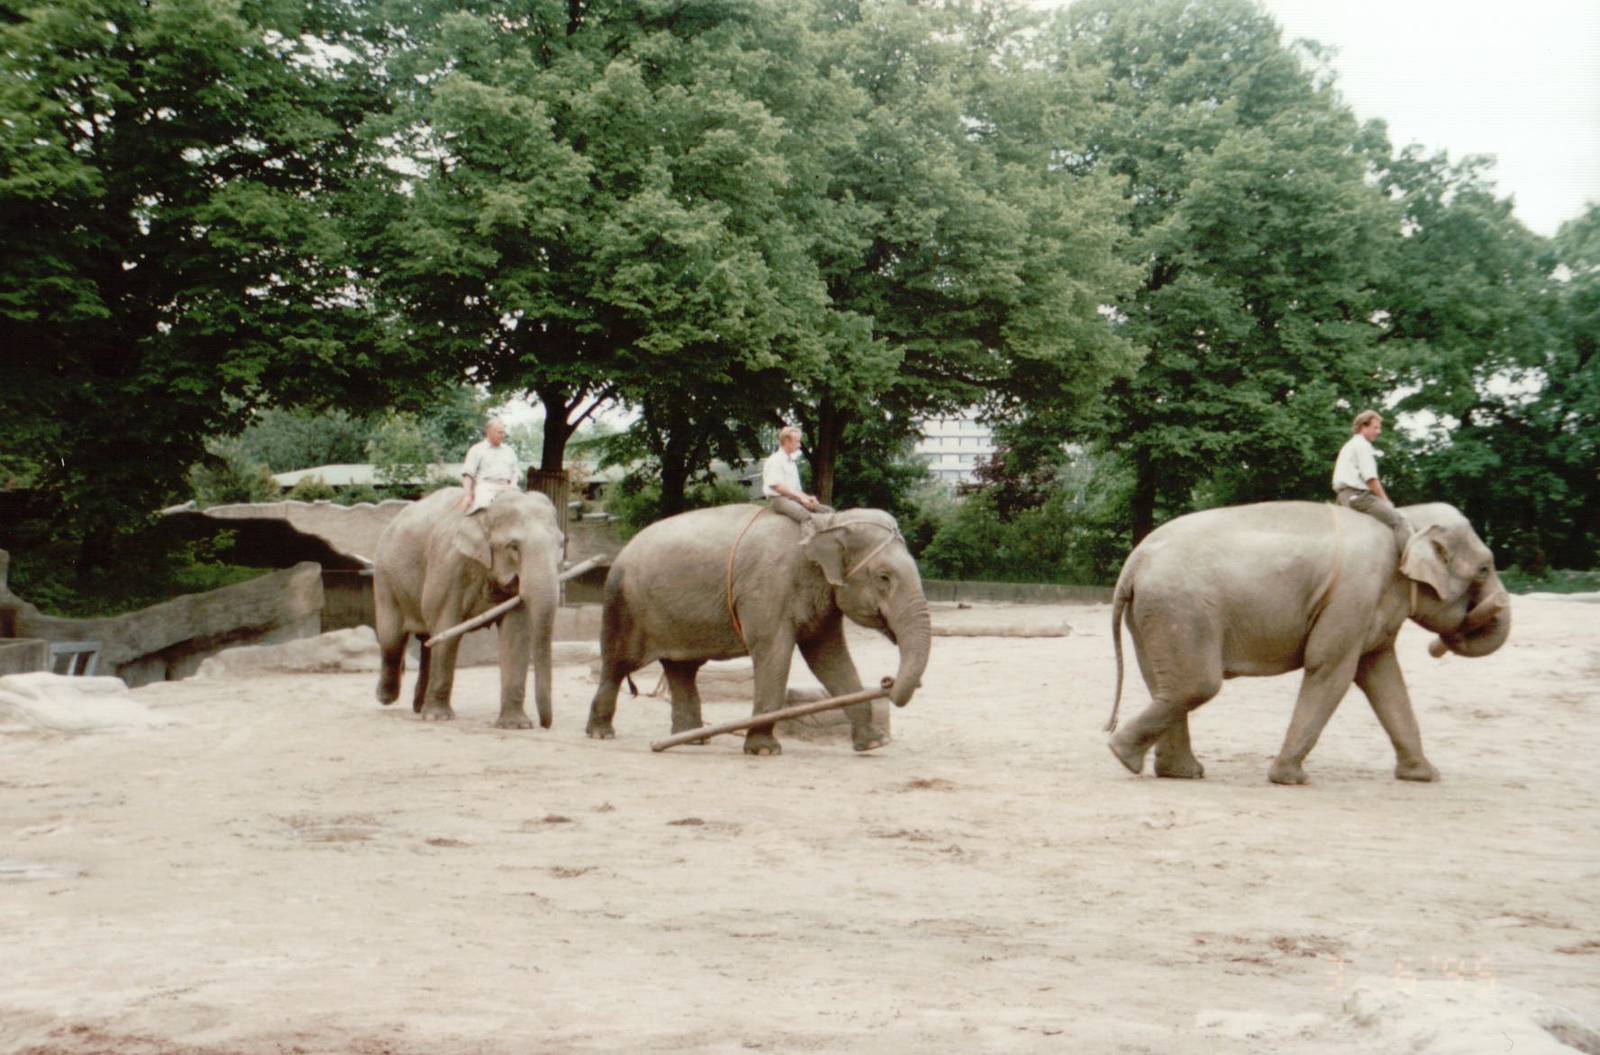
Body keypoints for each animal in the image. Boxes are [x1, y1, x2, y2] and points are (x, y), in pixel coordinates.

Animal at [373, 487, 563, 729]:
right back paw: (386, 697)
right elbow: (448, 630)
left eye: (560, 544)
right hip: (385, 578)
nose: (545, 725)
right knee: (392, 639)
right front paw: (438, 718)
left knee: (427, 641)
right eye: (513, 547)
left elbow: (516, 635)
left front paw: (516, 725)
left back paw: (419, 707)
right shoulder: (448, 565)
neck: (486, 511)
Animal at [585, 505, 932, 755]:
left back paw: (692, 739)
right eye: (884, 577)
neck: (827, 523)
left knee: (681, 669)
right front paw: (764, 750)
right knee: (618, 664)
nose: (888, 681)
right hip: (623, 604)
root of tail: (621, 553)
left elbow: (830, 658)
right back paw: (601, 734)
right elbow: (773, 652)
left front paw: (874, 743)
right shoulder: (767, 588)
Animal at [1105, 501, 1511, 785]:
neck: (1407, 519)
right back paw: (1124, 756)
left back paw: (1171, 770)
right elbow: (1331, 669)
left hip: (1154, 613)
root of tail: (1134, 561)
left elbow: (1382, 677)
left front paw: (1426, 776)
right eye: (1484, 569)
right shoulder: (1352, 596)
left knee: (1168, 687)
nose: (1437, 649)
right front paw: (1290, 779)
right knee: (1196, 685)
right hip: (1180, 608)